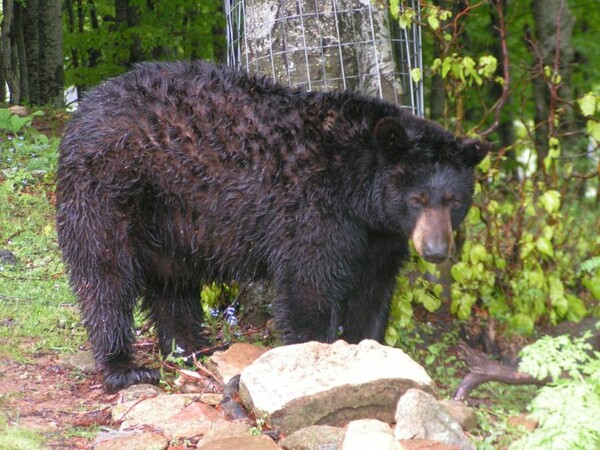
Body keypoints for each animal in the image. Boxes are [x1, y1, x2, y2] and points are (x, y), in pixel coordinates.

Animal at [55, 61, 488, 392]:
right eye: (417, 199)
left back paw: (191, 347)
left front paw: (369, 352)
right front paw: (314, 359)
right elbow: (309, 285)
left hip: (170, 217)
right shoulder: (315, 210)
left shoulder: (380, 238)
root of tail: (86, 107)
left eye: (454, 200)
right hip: (110, 188)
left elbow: (373, 292)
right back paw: (125, 367)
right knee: (105, 274)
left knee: (172, 282)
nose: (436, 250)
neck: (358, 191)